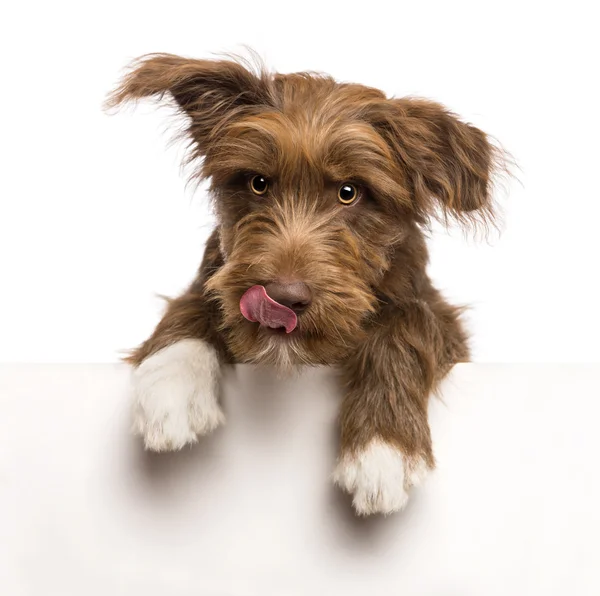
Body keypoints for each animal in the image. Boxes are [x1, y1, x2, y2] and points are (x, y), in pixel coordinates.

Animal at [106, 52, 502, 516]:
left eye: (350, 192)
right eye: (258, 183)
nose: (282, 299)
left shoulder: (441, 318)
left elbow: (408, 324)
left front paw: (382, 449)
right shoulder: (215, 277)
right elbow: (194, 302)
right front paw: (171, 383)